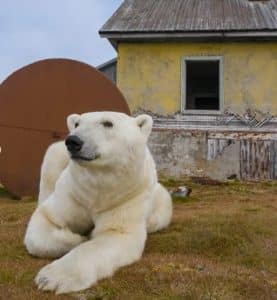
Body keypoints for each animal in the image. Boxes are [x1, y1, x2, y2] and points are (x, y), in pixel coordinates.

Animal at [24, 111, 170, 294]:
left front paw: (51, 278)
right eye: (77, 123)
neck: (98, 188)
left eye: (108, 123)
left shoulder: (126, 196)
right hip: (57, 156)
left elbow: (116, 233)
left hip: (159, 200)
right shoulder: (74, 193)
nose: (73, 141)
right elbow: (46, 219)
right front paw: (76, 238)